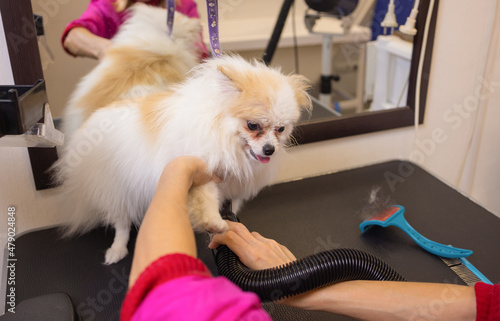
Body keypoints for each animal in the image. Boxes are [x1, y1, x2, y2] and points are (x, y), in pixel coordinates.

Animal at [54, 3, 312, 262]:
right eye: (253, 125)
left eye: (281, 129)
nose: (270, 149)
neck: (224, 138)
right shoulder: (201, 170)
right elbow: (205, 199)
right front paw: (214, 223)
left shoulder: (232, 184)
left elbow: (231, 205)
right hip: (116, 189)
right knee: (122, 222)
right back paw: (117, 250)